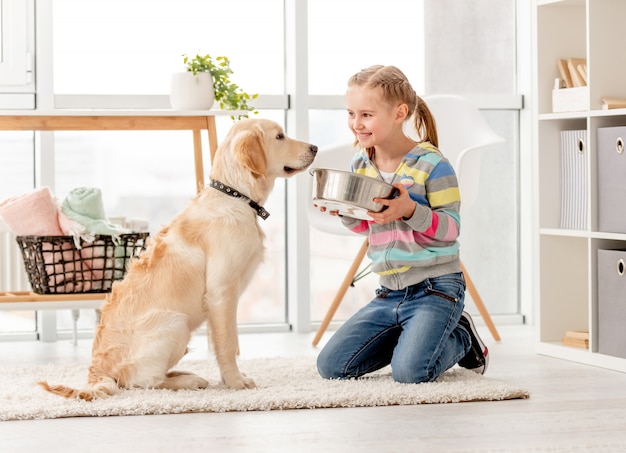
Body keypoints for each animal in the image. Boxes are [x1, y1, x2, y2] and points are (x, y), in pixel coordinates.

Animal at [37, 117, 316, 400]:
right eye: (279, 136)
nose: (314, 148)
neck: (234, 195)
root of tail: (97, 371)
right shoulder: (221, 292)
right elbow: (229, 344)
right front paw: (235, 382)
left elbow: (222, 343)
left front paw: (230, 379)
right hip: (175, 323)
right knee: (143, 382)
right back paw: (189, 381)